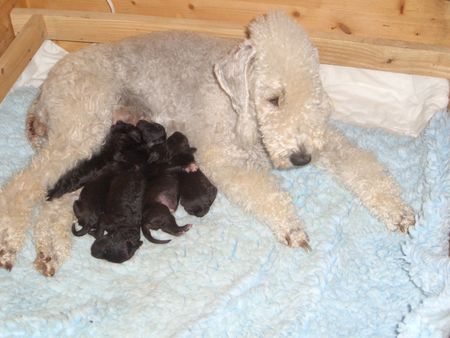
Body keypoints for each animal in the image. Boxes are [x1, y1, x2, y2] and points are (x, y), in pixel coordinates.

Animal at [0, 11, 414, 276]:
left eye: (313, 93)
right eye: (274, 98)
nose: (301, 158)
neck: (240, 106)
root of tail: (42, 93)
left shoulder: (324, 140)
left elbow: (358, 163)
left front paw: (398, 210)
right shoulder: (222, 156)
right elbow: (265, 192)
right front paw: (292, 227)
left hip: (89, 151)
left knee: (56, 203)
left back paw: (49, 251)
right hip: (81, 131)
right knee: (22, 187)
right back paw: (9, 241)